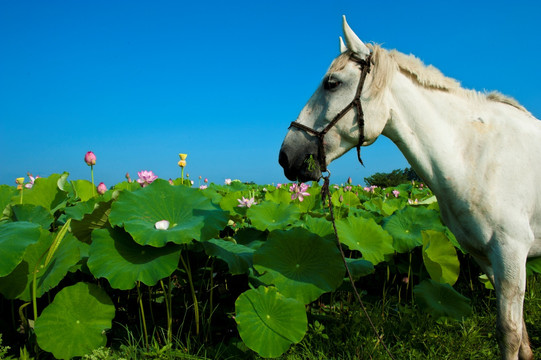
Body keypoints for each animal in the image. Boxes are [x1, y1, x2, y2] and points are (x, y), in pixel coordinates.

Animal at [278, 15, 540, 358]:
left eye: (332, 83)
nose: (286, 155)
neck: (474, 154)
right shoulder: (486, 256)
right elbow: (520, 332)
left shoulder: (511, 250)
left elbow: (509, 332)